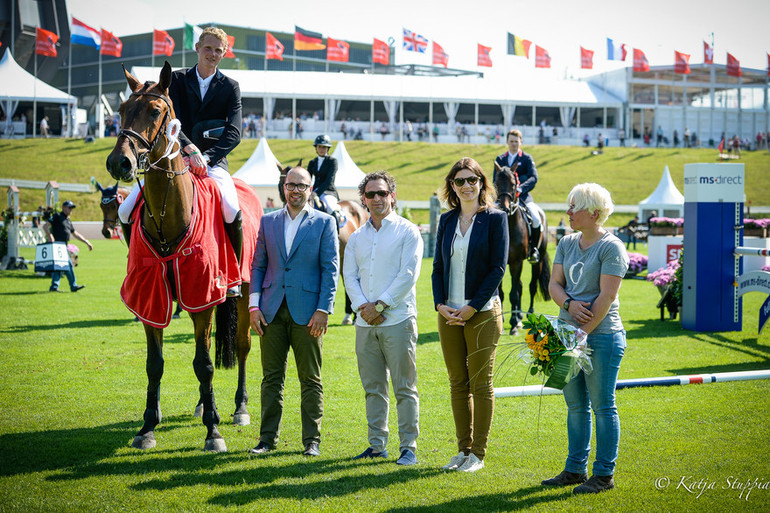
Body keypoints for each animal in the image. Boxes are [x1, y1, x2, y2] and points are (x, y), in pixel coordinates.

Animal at [105, 63, 260, 452]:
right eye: (122, 109)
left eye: (155, 111)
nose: (119, 162)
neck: (167, 215)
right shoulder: (152, 299)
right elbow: (155, 364)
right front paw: (148, 426)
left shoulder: (201, 296)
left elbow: (204, 364)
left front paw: (213, 433)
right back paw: (206, 405)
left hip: (243, 289)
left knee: (242, 346)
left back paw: (238, 408)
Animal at [496, 162, 548, 334]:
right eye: (496, 184)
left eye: (513, 184)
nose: (504, 208)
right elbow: (502, 293)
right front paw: (503, 322)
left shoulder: (516, 262)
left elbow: (513, 293)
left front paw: (513, 325)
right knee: (520, 286)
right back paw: (518, 318)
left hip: (537, 260)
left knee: (531, 286)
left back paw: (528, 314)